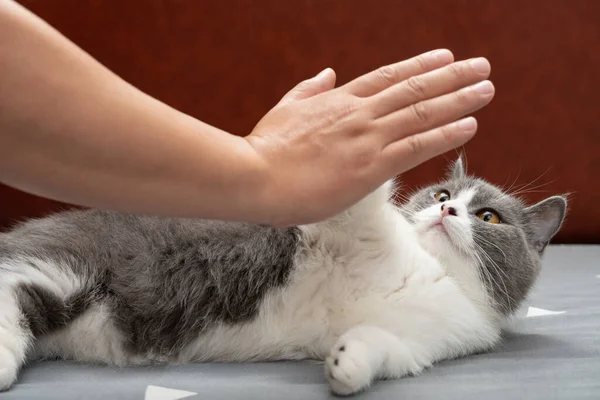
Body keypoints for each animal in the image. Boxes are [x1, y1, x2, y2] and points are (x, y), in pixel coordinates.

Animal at [0, 158, 568, 396]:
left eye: (489, 216)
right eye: (443, 195)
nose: (447, 212)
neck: (432, 271)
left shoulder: (432, 338)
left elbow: (384, 347)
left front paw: (347, 364)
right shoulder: (333, 235)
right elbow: (355, 207)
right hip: (67, 262)